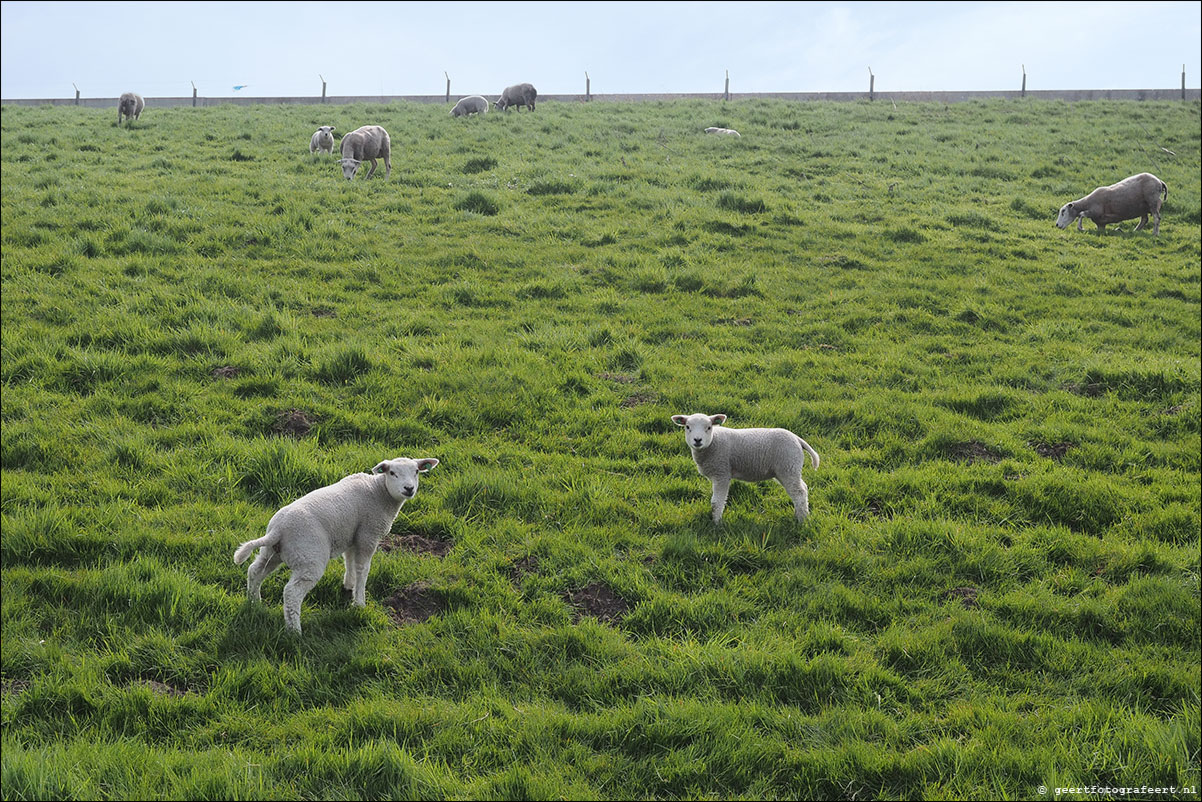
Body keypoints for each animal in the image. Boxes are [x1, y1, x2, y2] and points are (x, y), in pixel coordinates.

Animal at [231, 456, 439, 634]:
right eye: (392, 473)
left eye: (416, 472)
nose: (409, 488)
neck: (379, 492)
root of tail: (278, 530)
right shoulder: (368, 534)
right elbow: (362, 568)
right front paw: (359, 602)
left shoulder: (352, 534)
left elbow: (349, 561)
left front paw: (349, 586)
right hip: (309, 557)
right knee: (292, 593)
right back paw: (294, 632)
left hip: (273, 552)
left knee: (255, 571)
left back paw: (254, 604)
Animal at [673, 413, 822, 526]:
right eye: (687, 427)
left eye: (709, 427)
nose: (697, 440)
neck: (713, 442)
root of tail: (797, 439)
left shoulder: (722, 473)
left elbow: (716, 502)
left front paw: (716, 523)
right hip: (788, 469)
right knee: (802, 488)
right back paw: (800, 514)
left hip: (788, 466)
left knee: (799, 493)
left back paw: (802, 520)